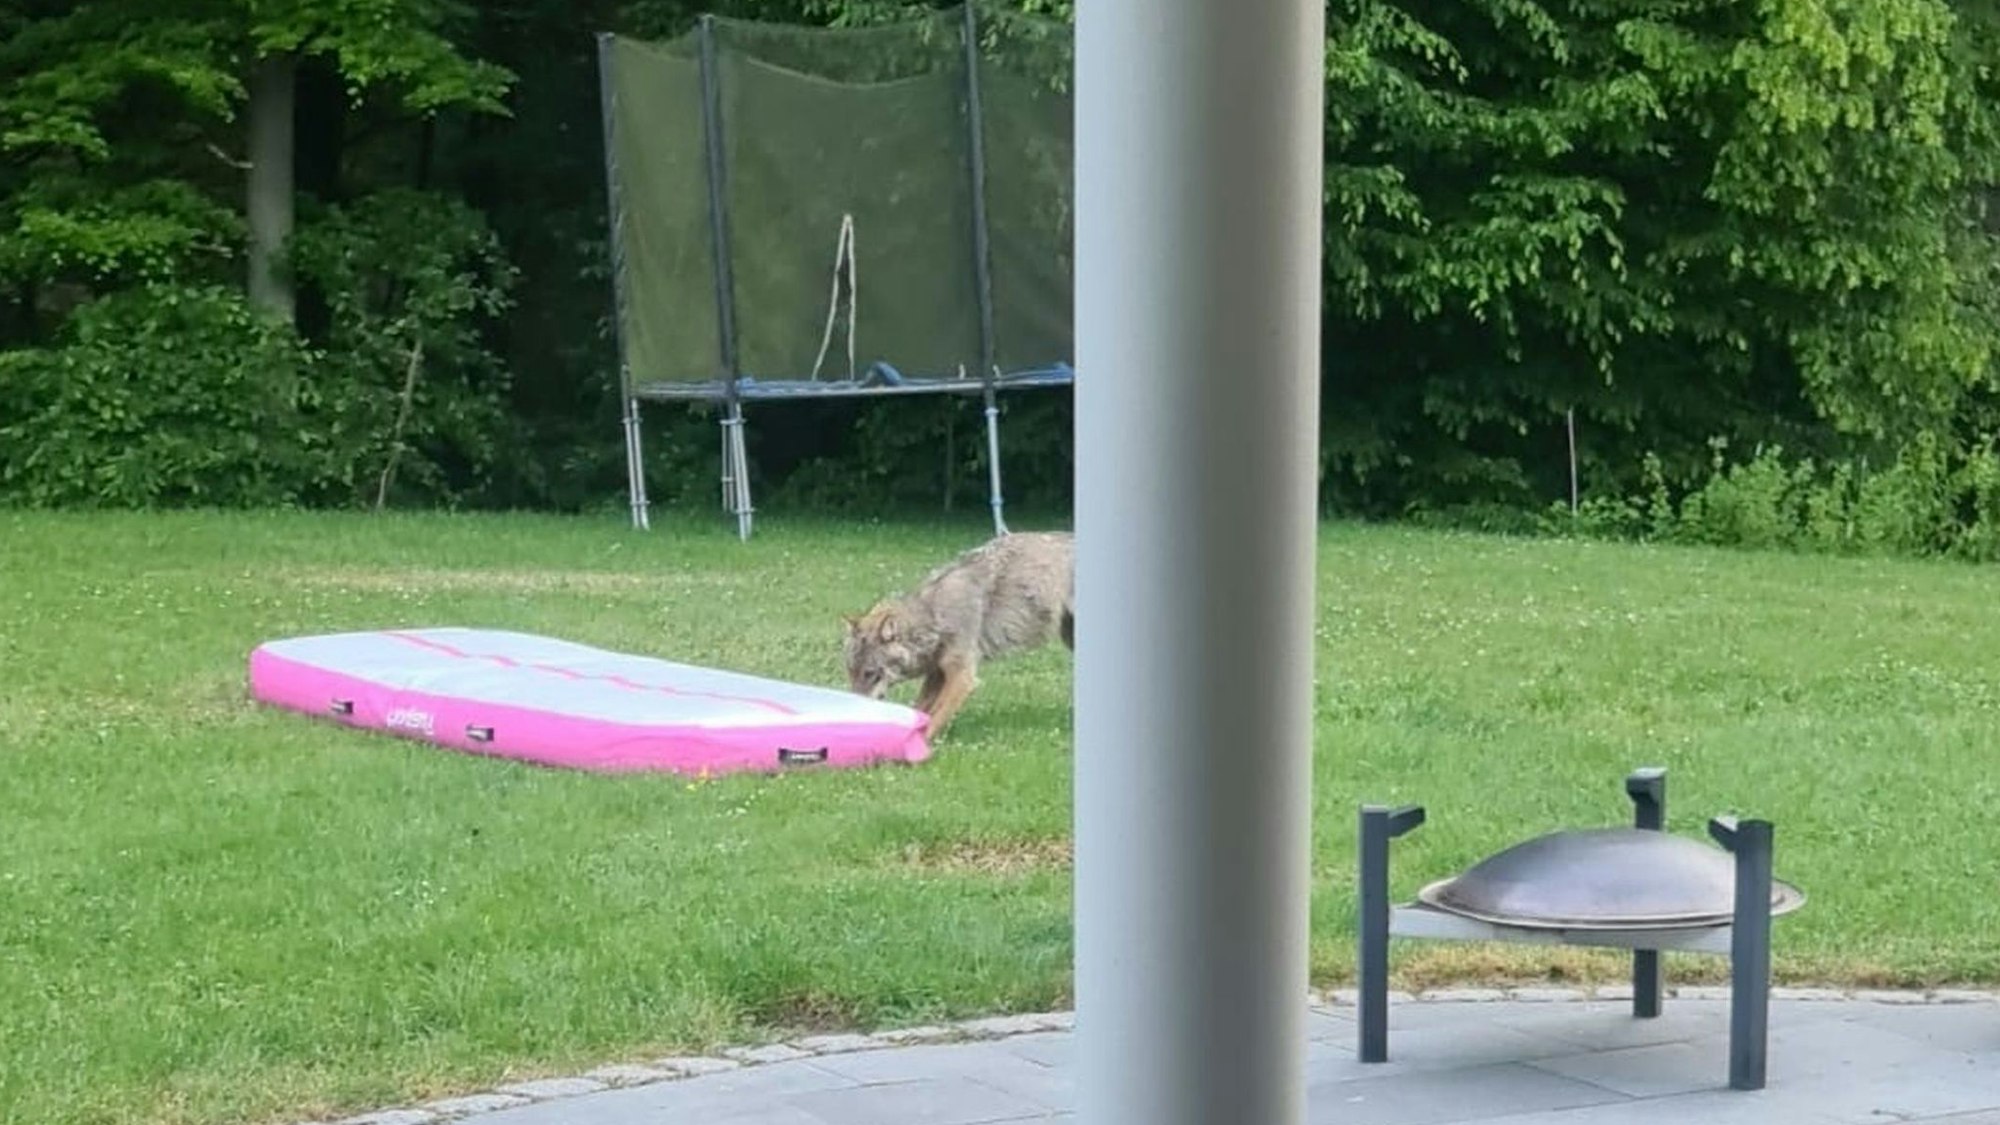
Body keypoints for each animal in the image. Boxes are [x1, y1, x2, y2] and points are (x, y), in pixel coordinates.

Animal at [842, 530, 1074, 738]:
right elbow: (921, 709)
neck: (935, 617)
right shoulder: (937, 673)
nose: (853, 712)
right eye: (851, 672)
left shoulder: (962, 678)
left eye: (869, 673)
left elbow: (935, 718)